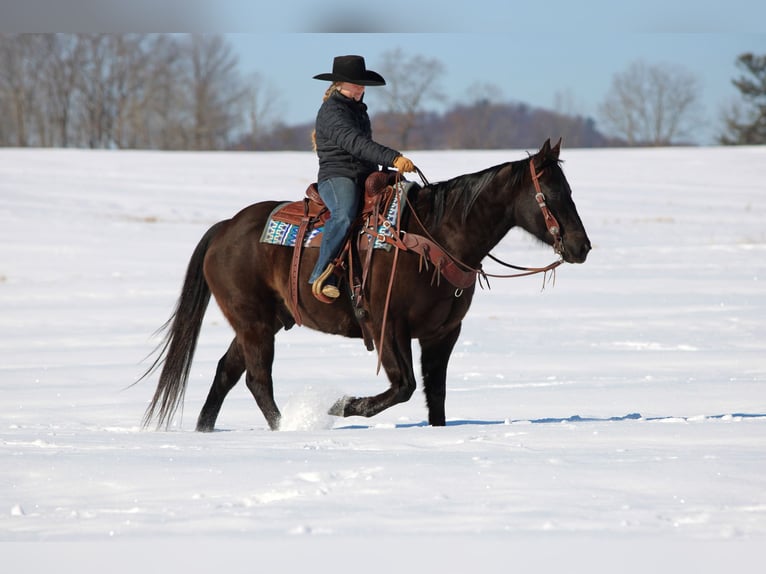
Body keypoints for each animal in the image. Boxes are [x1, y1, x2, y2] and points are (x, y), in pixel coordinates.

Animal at [142, 138, 591, 431]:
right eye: (551, 194)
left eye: (570, 189)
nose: (581, 246)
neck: (436, 236)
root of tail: (225, 228)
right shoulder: (387, 325)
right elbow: (404, 386)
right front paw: (341, 406)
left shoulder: (443, 334)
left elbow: (436, 394)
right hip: (253, 323)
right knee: (257, 380)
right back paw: (289, 425)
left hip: (262, 322)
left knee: (226, 372)